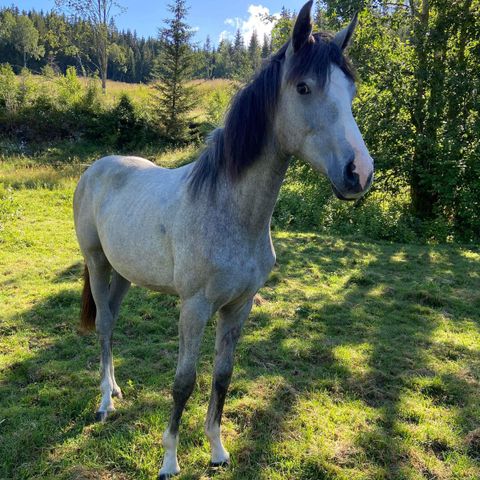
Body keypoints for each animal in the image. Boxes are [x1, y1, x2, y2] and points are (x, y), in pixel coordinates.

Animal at [74, 2, 376, 476]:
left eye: (351, 91)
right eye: (304, 88)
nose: (358, 173)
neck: (228, 210)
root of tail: (96, 169)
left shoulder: (239, 306)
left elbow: (222, 376)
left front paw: (217, 450)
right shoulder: (195, 307)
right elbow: (184, 382)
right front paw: (170, 461)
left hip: (124, 273)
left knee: (112, 323)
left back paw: (117, 389)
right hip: (98, 263)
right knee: (103, 326)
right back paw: (105, 402)